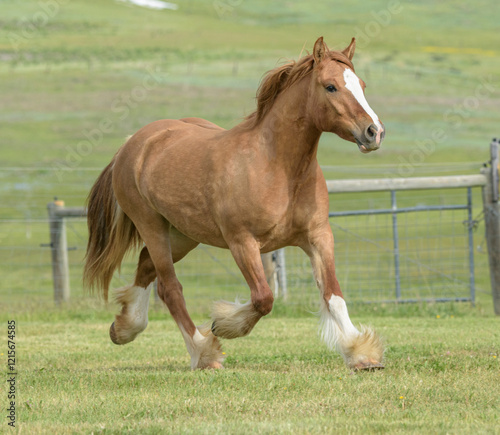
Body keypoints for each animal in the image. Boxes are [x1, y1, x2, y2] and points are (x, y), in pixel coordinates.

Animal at [84, 36, 384, 372]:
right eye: (330, 86)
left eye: (361, 84)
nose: (374, 132)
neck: (277, 167)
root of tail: (134, 142)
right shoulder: (243, 242)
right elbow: (263, 298)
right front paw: (224, 324)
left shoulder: (318, 237)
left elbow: (333, 295)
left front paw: (361, 354)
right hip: (152, 225)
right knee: (170, 288)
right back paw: (203, 353)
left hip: (183, 235)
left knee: (147, 266)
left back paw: (125, 327)